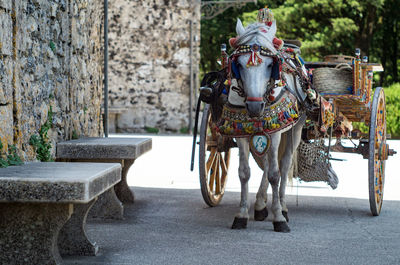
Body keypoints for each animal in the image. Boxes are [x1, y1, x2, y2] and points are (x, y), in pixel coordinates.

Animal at [230, 19, 308, 232]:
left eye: (269, 64)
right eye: (239, 64)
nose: (255, 106)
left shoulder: (275, 133)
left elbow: (275, 174)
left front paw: (279, 218)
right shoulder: (240, 134)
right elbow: (244, 172)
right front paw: (241, 215)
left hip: (295, 131)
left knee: (284, 165)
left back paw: (282, 207)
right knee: (265, 164)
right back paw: (260, 205)